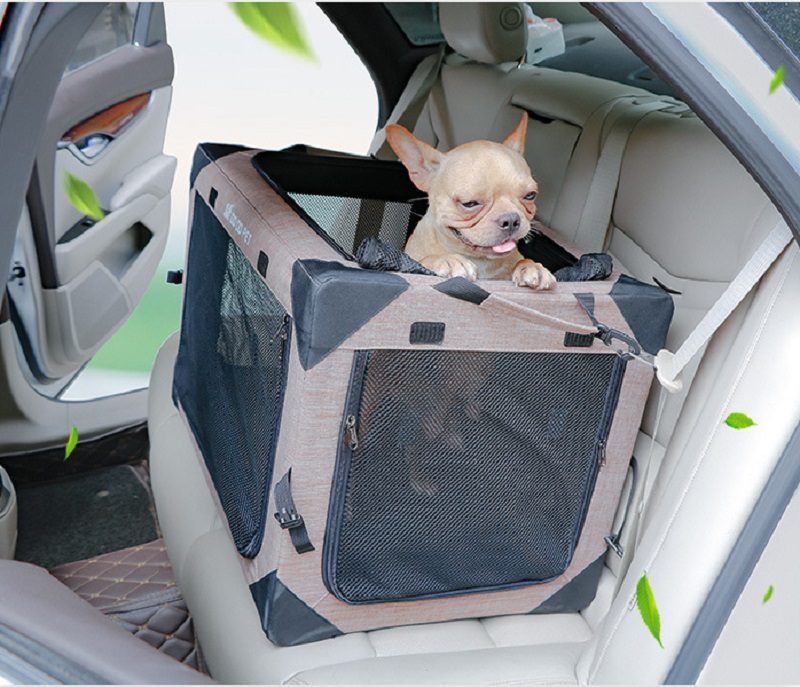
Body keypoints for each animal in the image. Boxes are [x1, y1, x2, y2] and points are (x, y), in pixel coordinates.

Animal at [388, 111, 556, 288]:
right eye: (469, 204)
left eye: (530, 195)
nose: (510, 220)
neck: (480, 261)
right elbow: (423, 260)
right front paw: (448, 260)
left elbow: (522, 261)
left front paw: (531, 266)